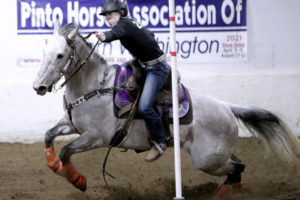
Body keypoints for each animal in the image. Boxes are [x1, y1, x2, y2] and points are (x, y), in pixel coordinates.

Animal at [32, 21, 300, 196]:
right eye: (43, 51)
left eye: (60, 55)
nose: (39, 87)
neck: (97, 87)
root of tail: (227, 107)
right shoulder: (71, 125)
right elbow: (48, 136)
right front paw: (52, 164)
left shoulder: (96, 137)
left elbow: (66, 151)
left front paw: (78, 180)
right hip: (215, 154)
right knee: (236, 163)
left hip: (207, 159)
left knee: (238, 166)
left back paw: (225, 192)